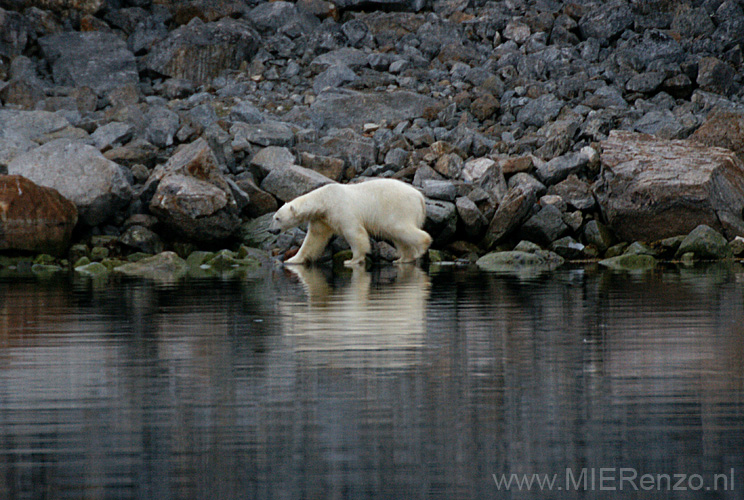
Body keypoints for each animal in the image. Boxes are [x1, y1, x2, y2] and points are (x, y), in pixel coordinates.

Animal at [268, 179, 430, 266]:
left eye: (277, 218)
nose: (271, 230)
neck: (324, 200)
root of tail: (420, 197)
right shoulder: (322, 218)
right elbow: (313, 239)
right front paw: (292, 259)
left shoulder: (342, 209)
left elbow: (354, 233)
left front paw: (352, 260)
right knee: (398, 236)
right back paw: (403, 259)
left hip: (399, 208)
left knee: (400, 228)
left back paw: (421, 247)